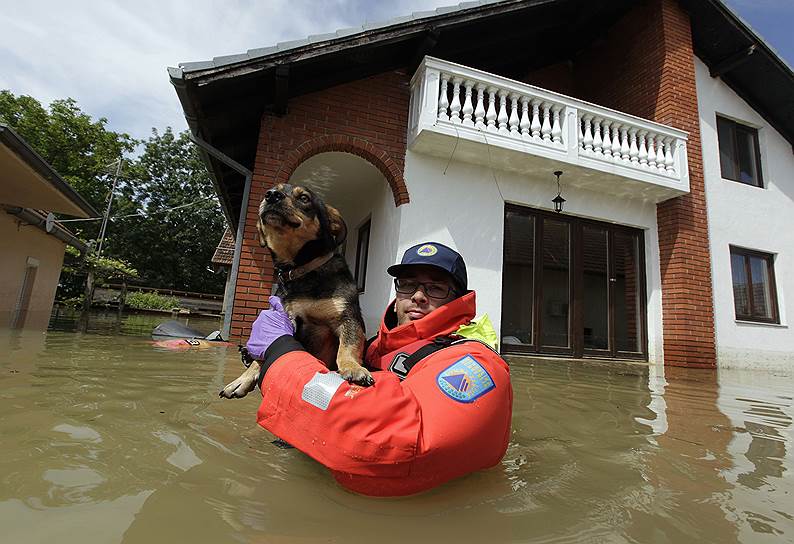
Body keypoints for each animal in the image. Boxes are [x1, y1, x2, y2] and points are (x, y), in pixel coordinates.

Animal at [217, 184, 372, 400]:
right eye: (270, 191)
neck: (301, 270)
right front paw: (242, 379)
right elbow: (266, 353)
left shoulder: (349, 318)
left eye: (304, 198)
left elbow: (348, 346)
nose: (271, 195)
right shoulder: (288, 318)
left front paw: (353, 367)